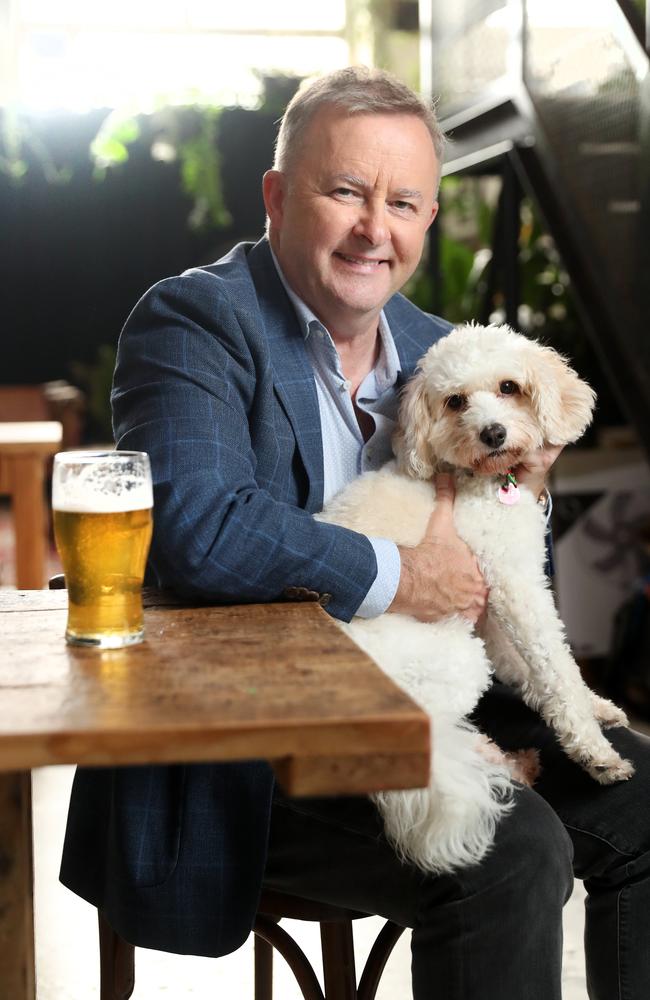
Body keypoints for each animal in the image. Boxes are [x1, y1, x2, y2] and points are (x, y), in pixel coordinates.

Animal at [316, 322, 632, 876]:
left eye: (509, 387)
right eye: (455, 401)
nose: (493, 434)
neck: (478, 477)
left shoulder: (490, 609)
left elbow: (536, 671)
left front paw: (599, 708)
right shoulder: (513, 586)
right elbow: (557, 669)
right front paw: (596, 753)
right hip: (452, 657)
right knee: (441, 735)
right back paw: (503, 763)